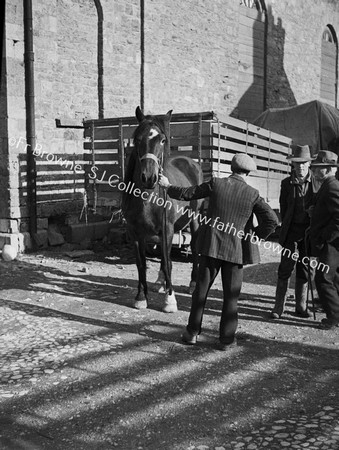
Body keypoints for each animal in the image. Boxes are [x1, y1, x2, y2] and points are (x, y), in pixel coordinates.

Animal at [123, 107, 206, 312]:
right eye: (137, 139)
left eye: (162, 140)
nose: (149, 178)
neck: (147, 198)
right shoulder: (135, 232)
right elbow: (141, 264)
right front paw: (141, 297)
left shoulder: (166, 228)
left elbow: (168, 260)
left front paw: (170, 300)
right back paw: (160, 282)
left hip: (194, 219)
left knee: (193, 246)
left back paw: (192, 283)